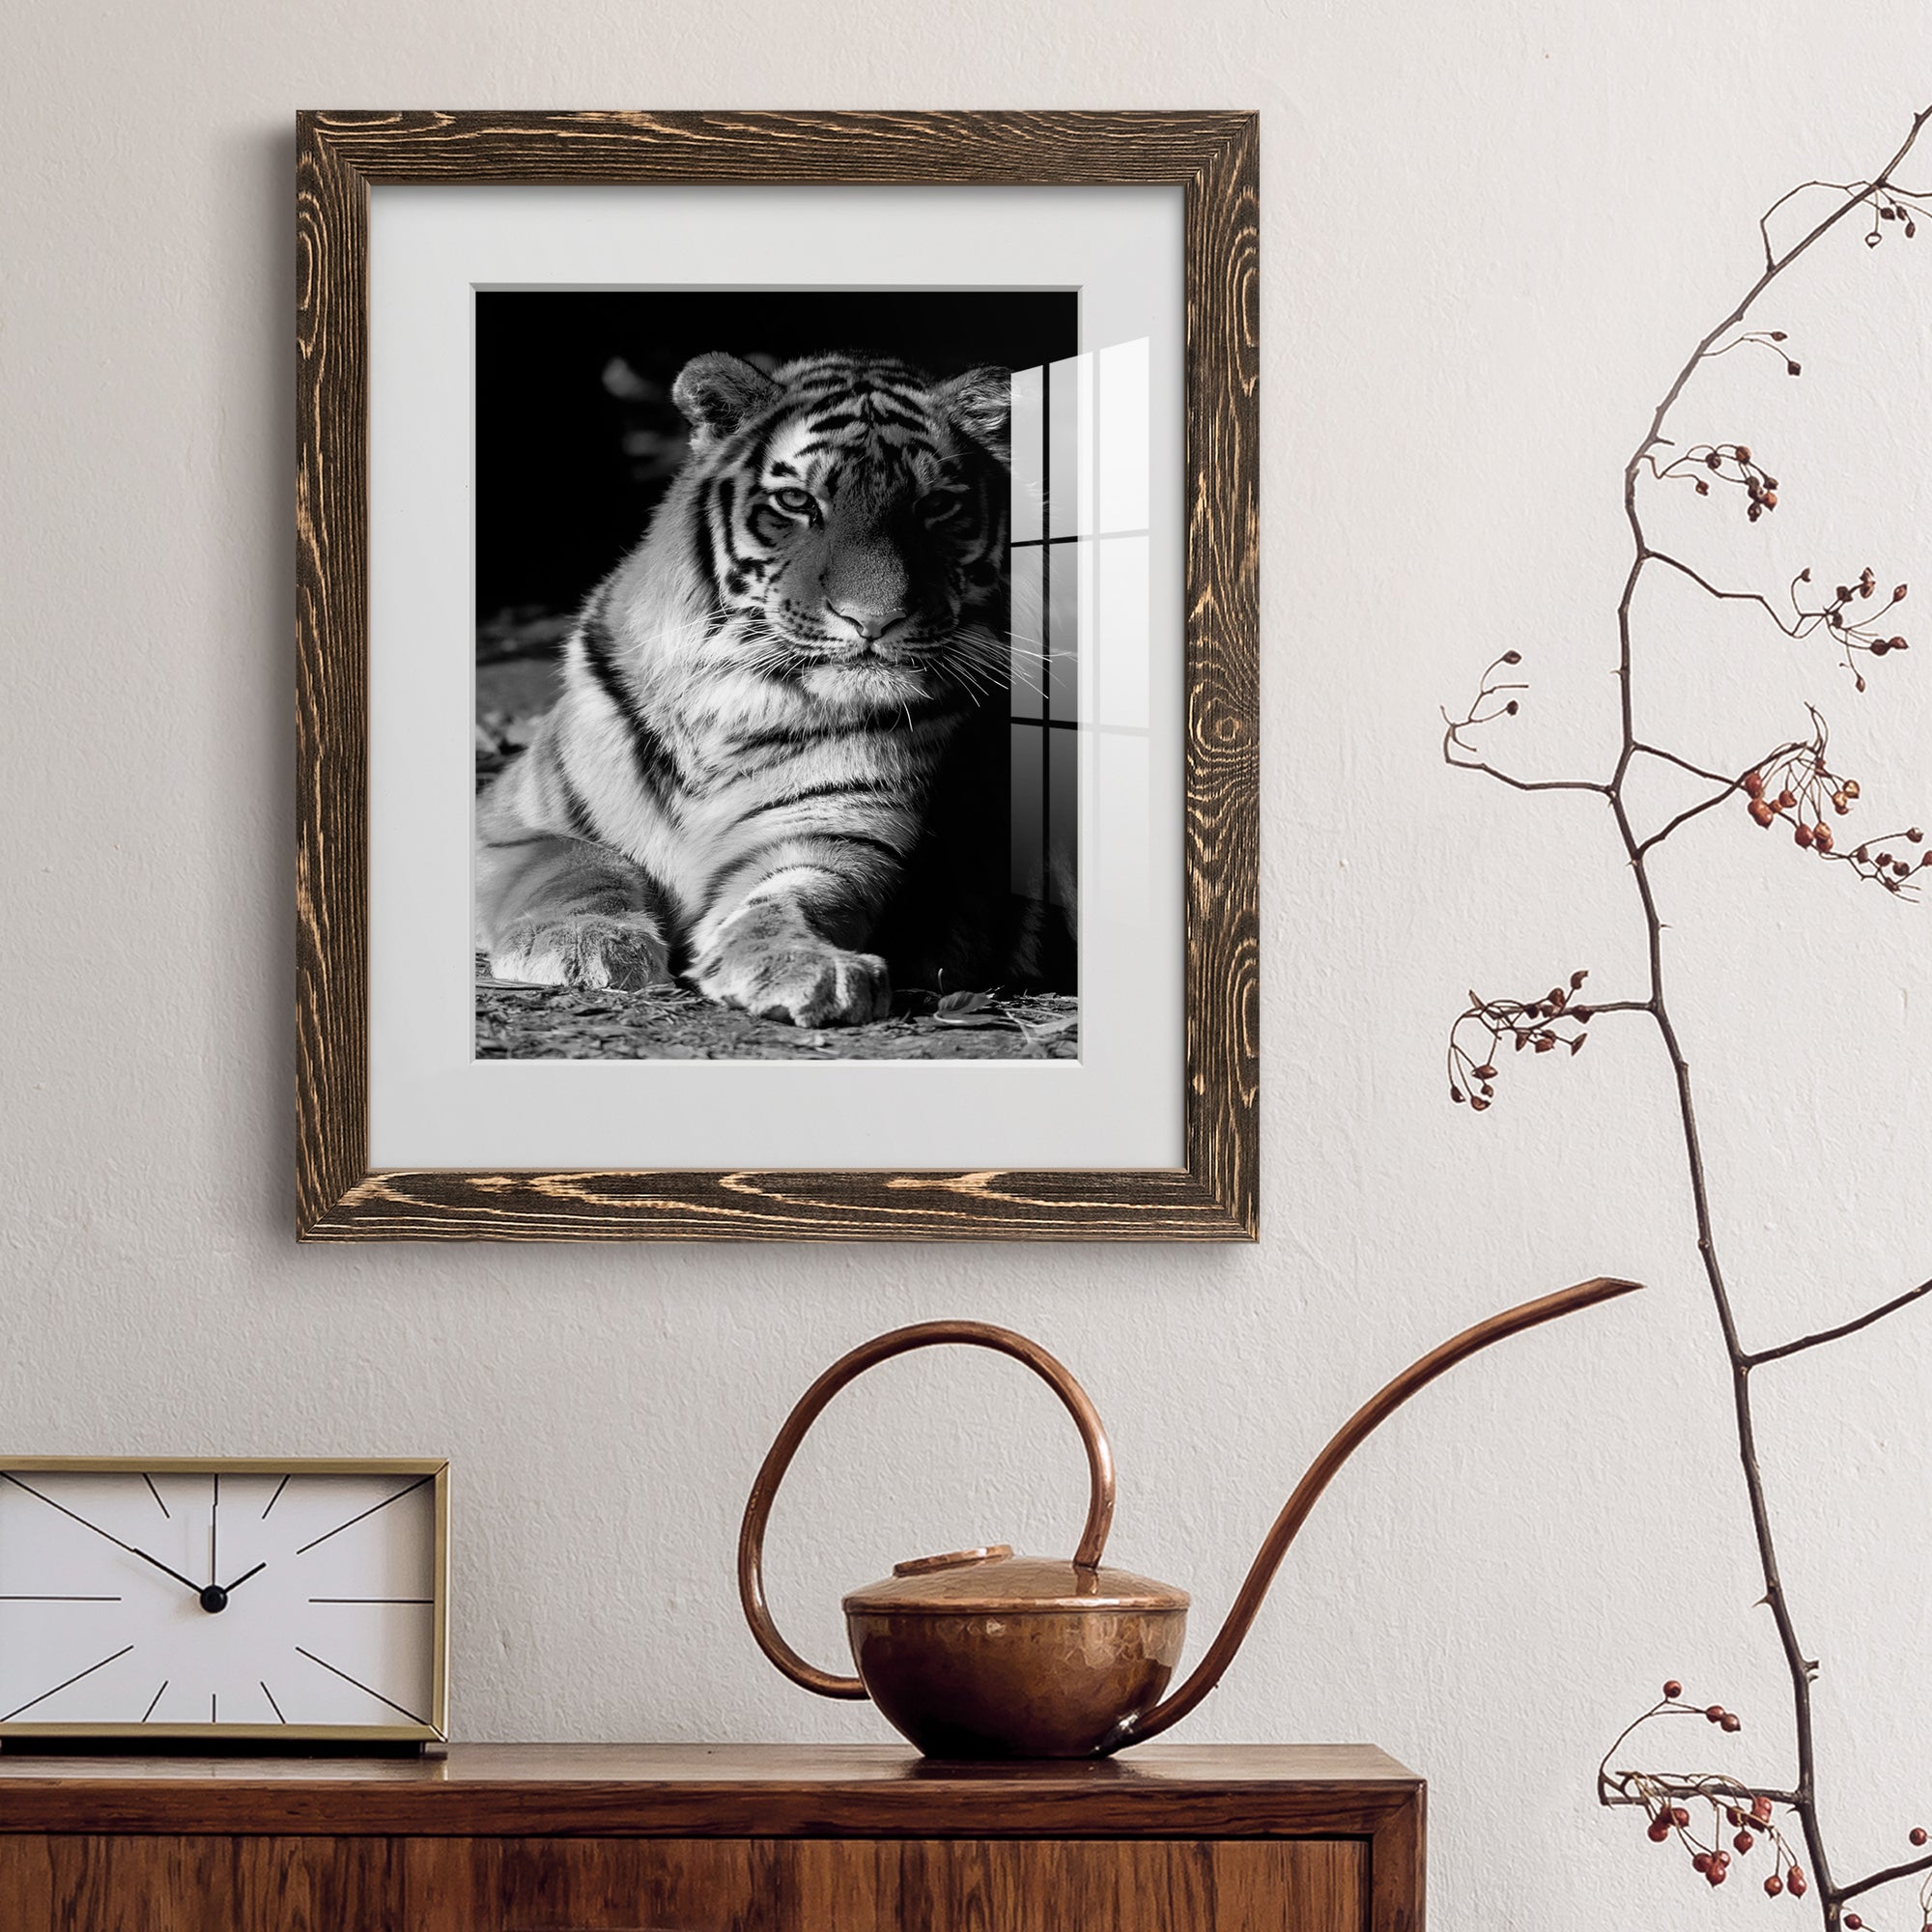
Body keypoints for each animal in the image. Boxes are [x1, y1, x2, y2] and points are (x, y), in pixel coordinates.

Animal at [475, 348, 1072, 1029]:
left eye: (935, 506)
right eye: (796, 501)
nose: (874, 620)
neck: (733, 701)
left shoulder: (834, 836)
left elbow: (793, 898)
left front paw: (802, 965)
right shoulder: (509, 821)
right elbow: (577, 864)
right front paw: (586, 944)